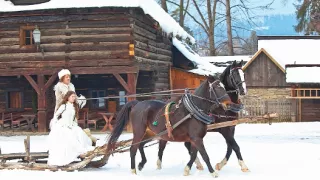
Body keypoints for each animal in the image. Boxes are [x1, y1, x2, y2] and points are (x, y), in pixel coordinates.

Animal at [107, 74, 238, 177]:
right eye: (217, 87)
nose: (228, 104)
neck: (193, 111)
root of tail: (137, 103)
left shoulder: (194, 138)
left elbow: (193, 154)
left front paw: (187, 170)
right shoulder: (197, 138)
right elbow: (205, 155)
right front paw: (213, 173)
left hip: (151, 133)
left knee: (140, 146)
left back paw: (141, 164)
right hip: (139, 132)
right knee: (133, 149)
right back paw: (133, 171)